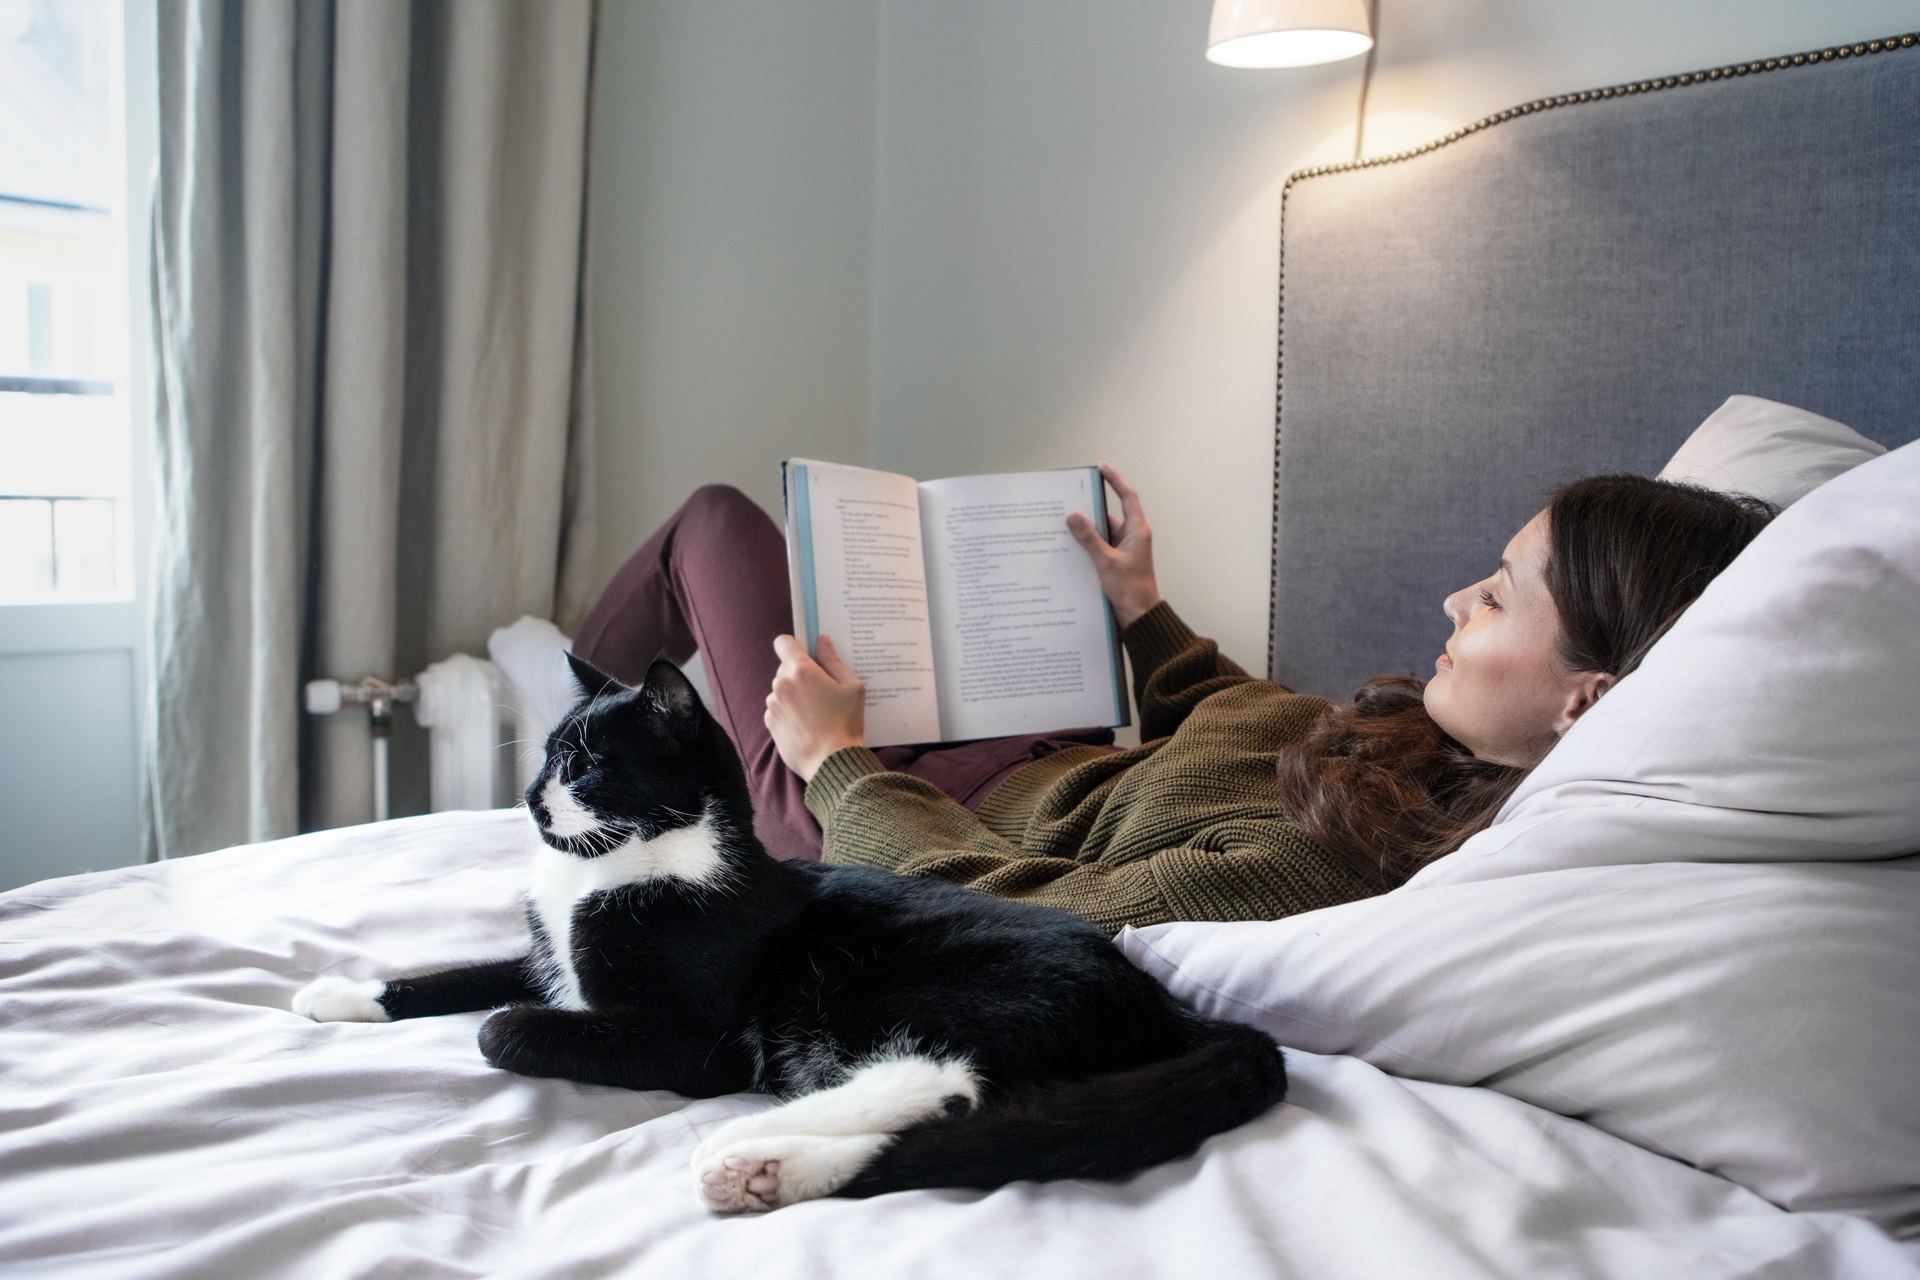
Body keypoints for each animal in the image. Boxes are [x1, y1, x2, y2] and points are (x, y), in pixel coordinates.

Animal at [295, 656, 1290, 1220]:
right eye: (545, 755)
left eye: (585, 764)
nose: (532, 799)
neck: (613, 869)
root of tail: (1166, 1006)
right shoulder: (547, 962)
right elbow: (463, 972)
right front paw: (338, 991)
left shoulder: (686, 1039)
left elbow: (499, 1026)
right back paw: (771, 1171)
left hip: (898, 987)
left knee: (942, 1080)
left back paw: (750, 1149)